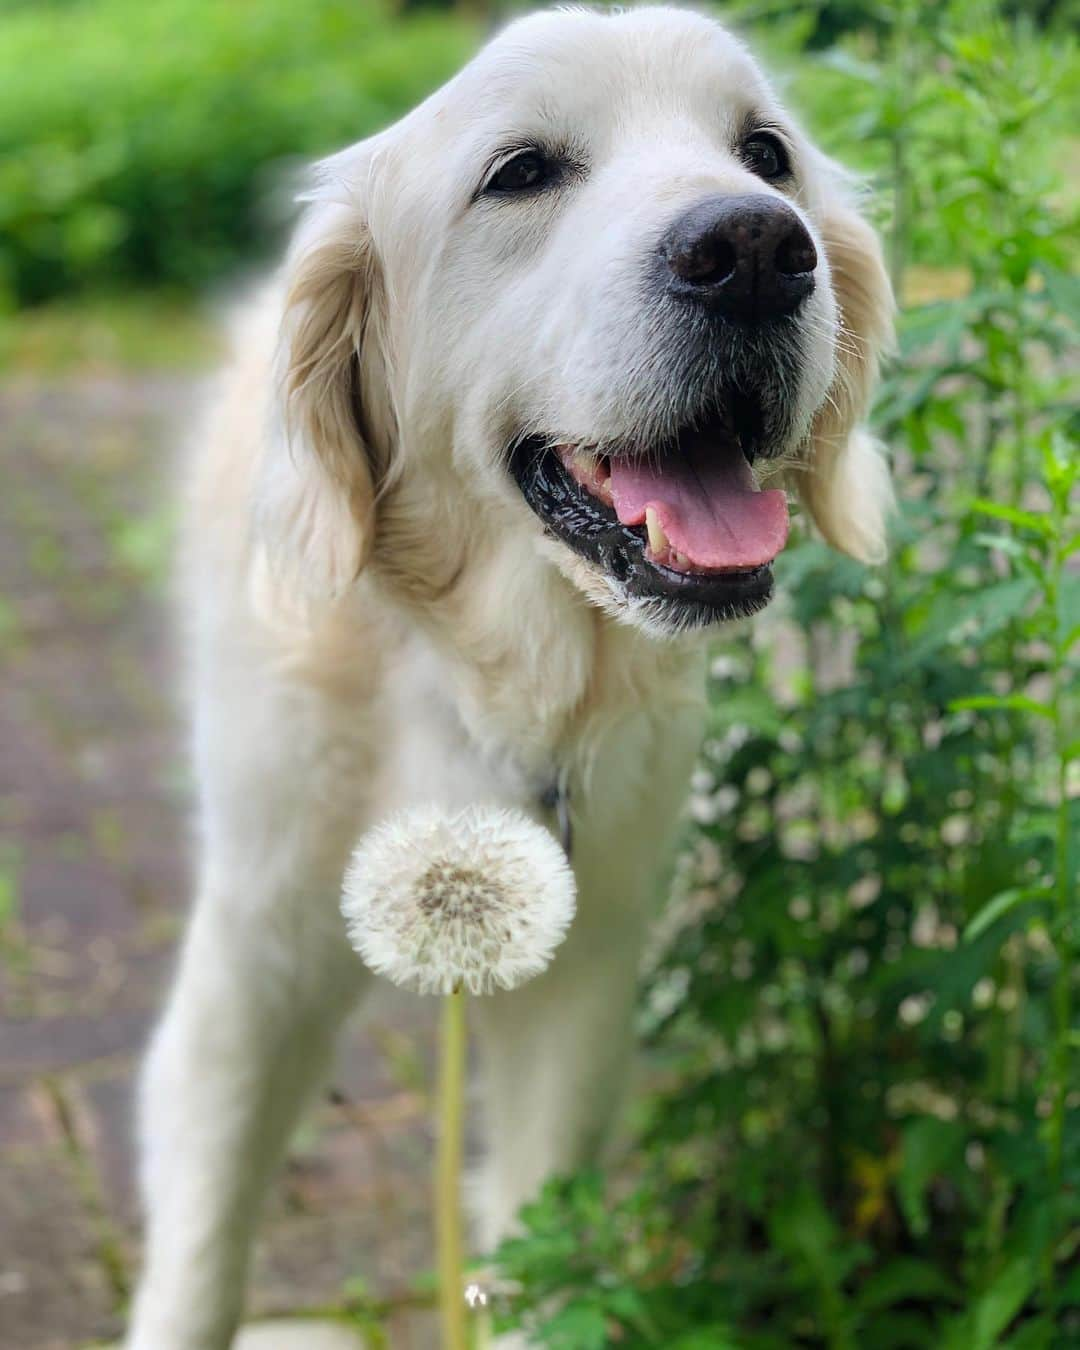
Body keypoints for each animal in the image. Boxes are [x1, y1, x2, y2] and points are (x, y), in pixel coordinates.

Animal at [122, 7, 891, 1339]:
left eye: (766, 154)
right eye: (521, 170)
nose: (754, 249)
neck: (476, 674)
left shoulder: (583, 973)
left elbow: (545, 1231)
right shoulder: (255, 956)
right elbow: (206, 1244)